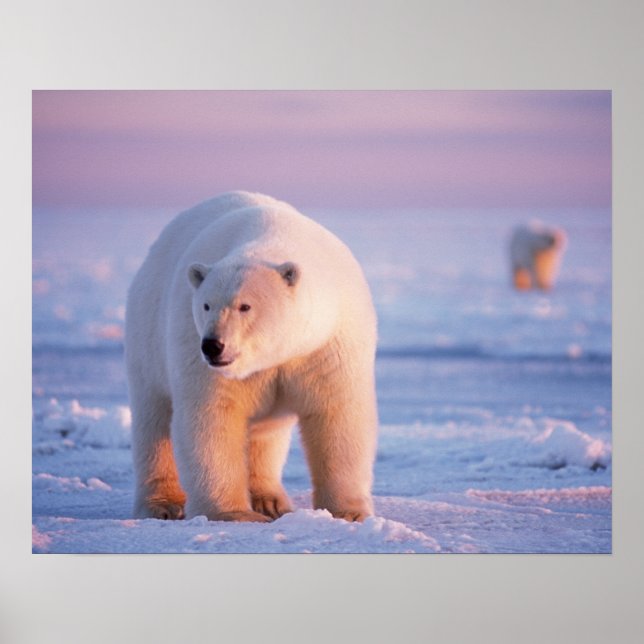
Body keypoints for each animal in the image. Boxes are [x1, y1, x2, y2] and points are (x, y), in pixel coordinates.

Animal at [125, 191, 378, 523]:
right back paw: (163, 505)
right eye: (206, 305)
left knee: (265, 433)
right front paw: (232, 514)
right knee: (154, 420)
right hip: (147, 335)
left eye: (244, 306)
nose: (212, 346)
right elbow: (213, 416)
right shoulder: (193, 343)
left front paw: (348, 513)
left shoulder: (326, 345)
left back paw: (269, 500)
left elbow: (337, 414)